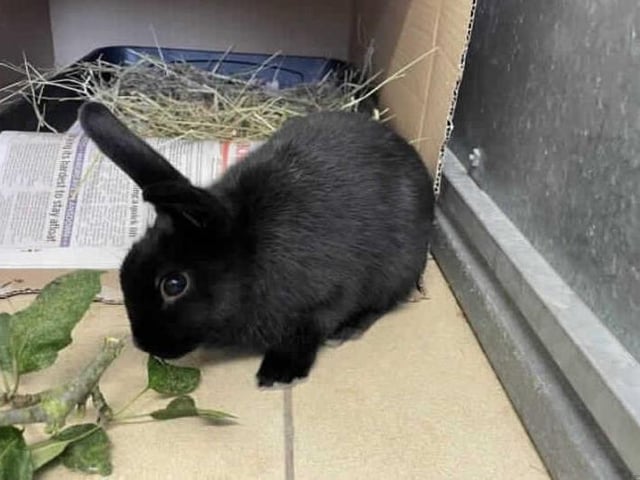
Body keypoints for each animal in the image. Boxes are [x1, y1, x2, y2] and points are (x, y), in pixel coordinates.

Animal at [78, 101, 435, 387]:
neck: (248, 251)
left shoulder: (325, 301)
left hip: (396, 269)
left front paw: (277, 374)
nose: (144, 344)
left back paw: (347, 331)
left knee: (385, 302)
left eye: (174, 284)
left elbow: (307, 333)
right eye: (128, 261)